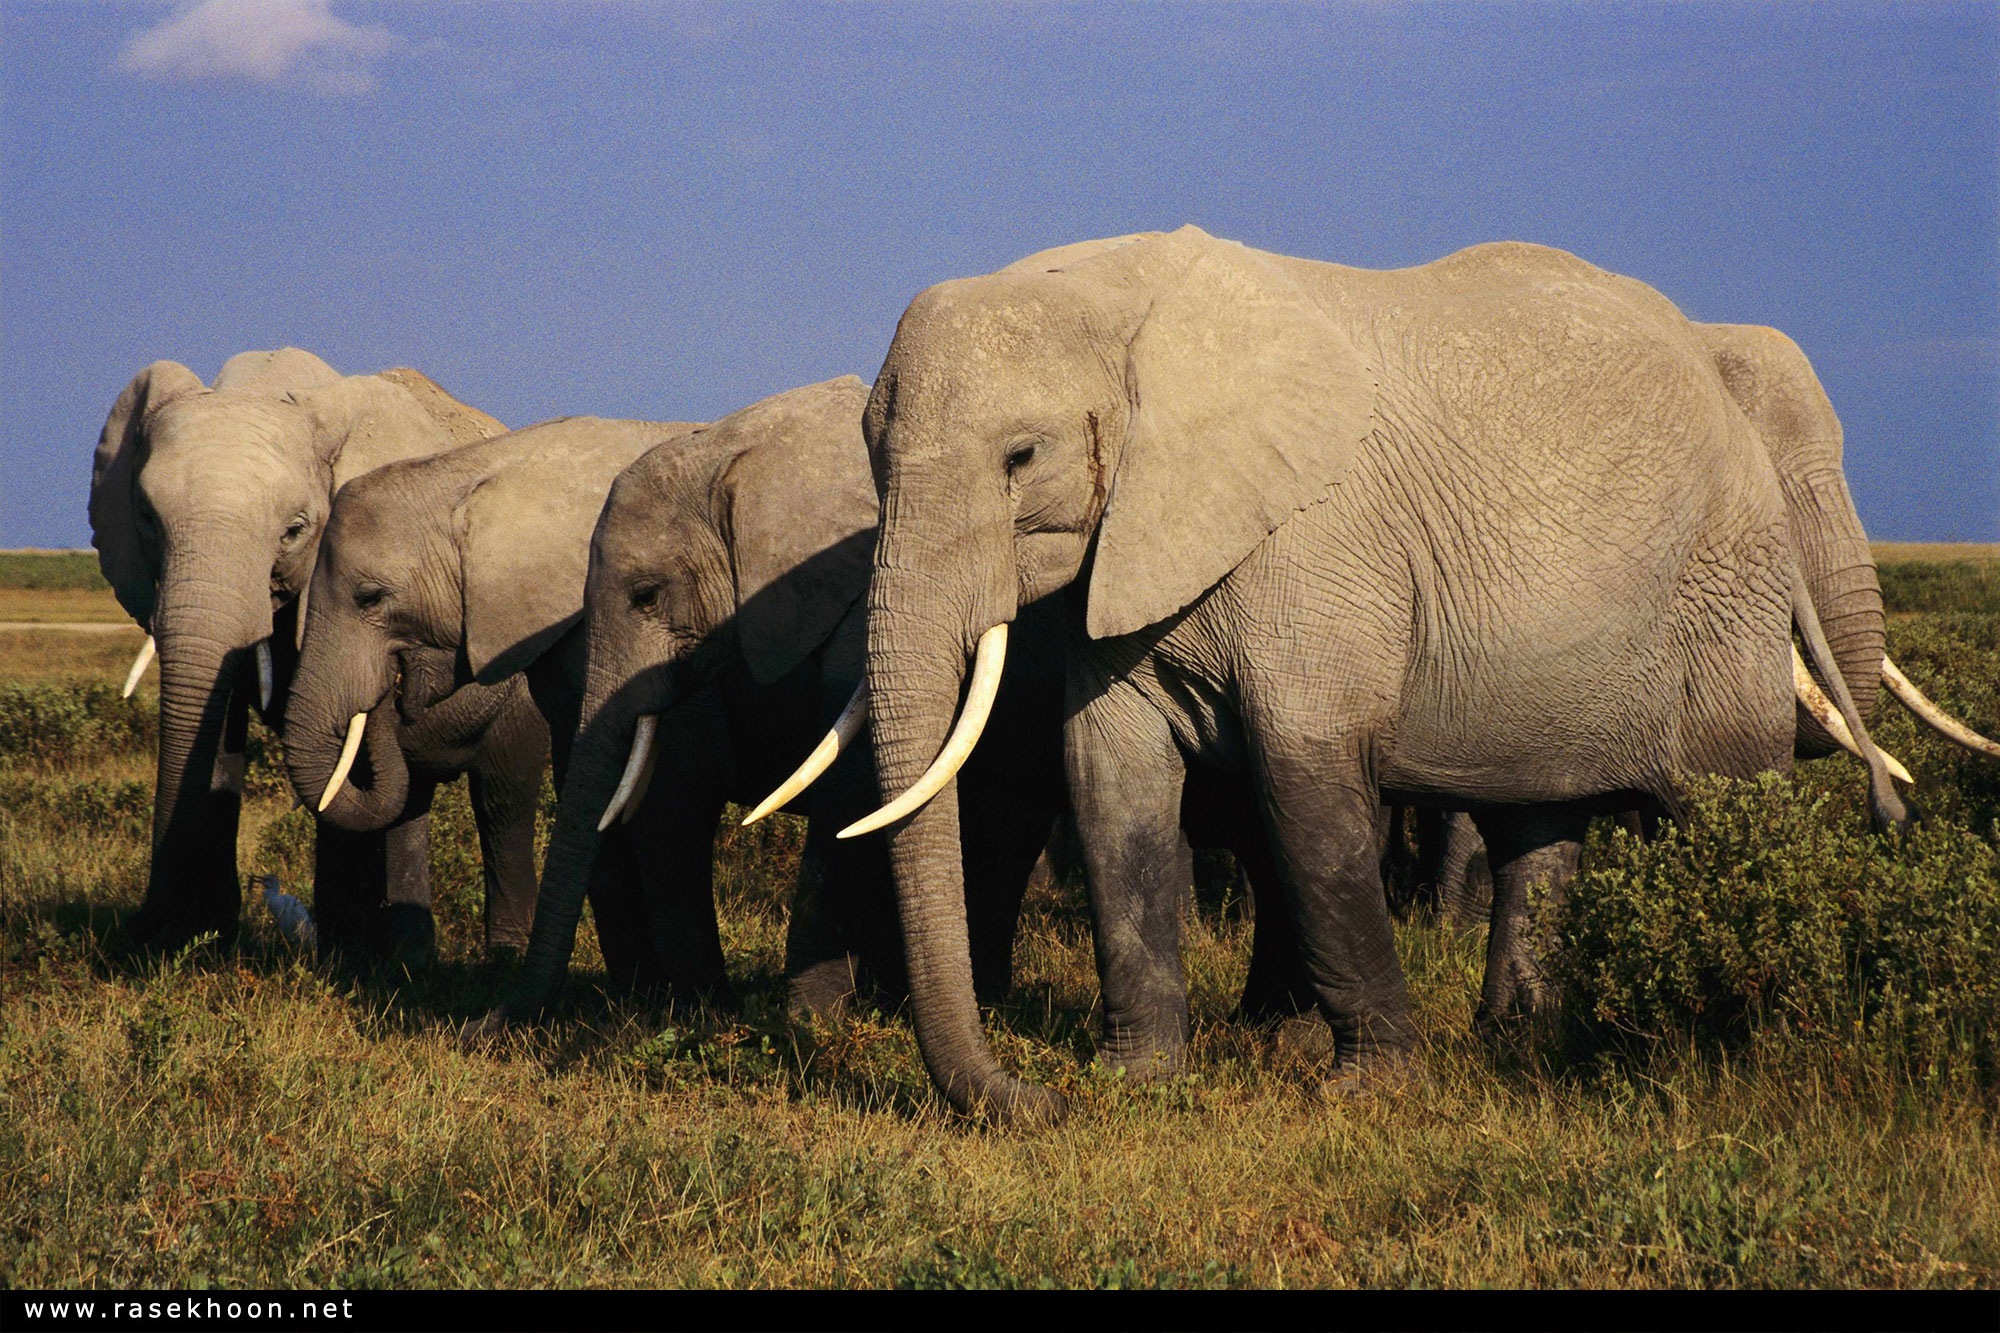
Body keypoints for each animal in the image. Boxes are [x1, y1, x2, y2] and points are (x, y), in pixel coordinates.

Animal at [824, 228, 1904, 1120]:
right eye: (869, 459)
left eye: (1021, 456)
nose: (1037, 1097)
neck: (1115, 293)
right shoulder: (1126, 547)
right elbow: (1109, 782)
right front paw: (1134, 1085)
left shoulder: (1321, 548)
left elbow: (1305, 791)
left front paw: (1366, 1093)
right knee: (1539, 830)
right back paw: (1518, 1044)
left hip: (1719, 592)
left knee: (1724, 810)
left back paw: (1744, 1044)